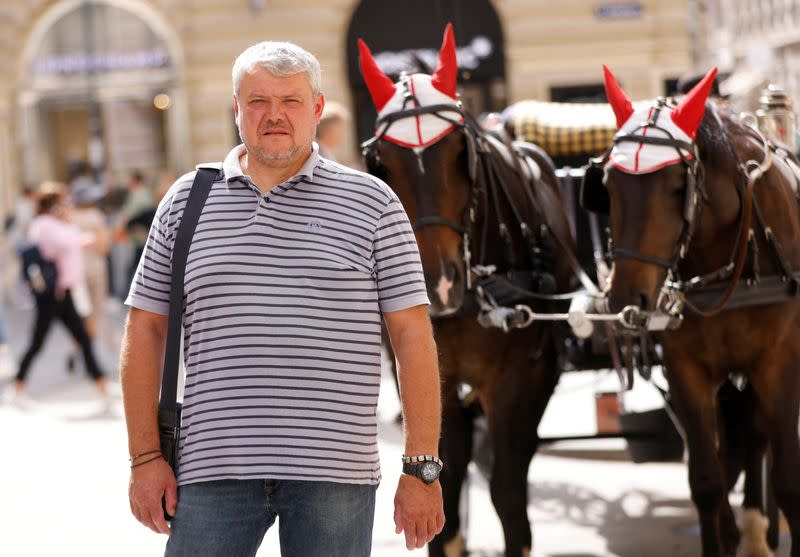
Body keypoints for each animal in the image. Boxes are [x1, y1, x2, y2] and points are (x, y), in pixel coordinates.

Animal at [360, 25, 580, 556]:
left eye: (461, 151)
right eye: (382, 162)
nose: (438, 284)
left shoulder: (520, 383)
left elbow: (507, 493)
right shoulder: (429, 378)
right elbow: (448, 488)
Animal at [588, 66, 800, 556]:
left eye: (676, 187)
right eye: (607, 185)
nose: (623, 298)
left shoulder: (778, 364)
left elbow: (786, 481)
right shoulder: (686, 372)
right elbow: (706, 483)